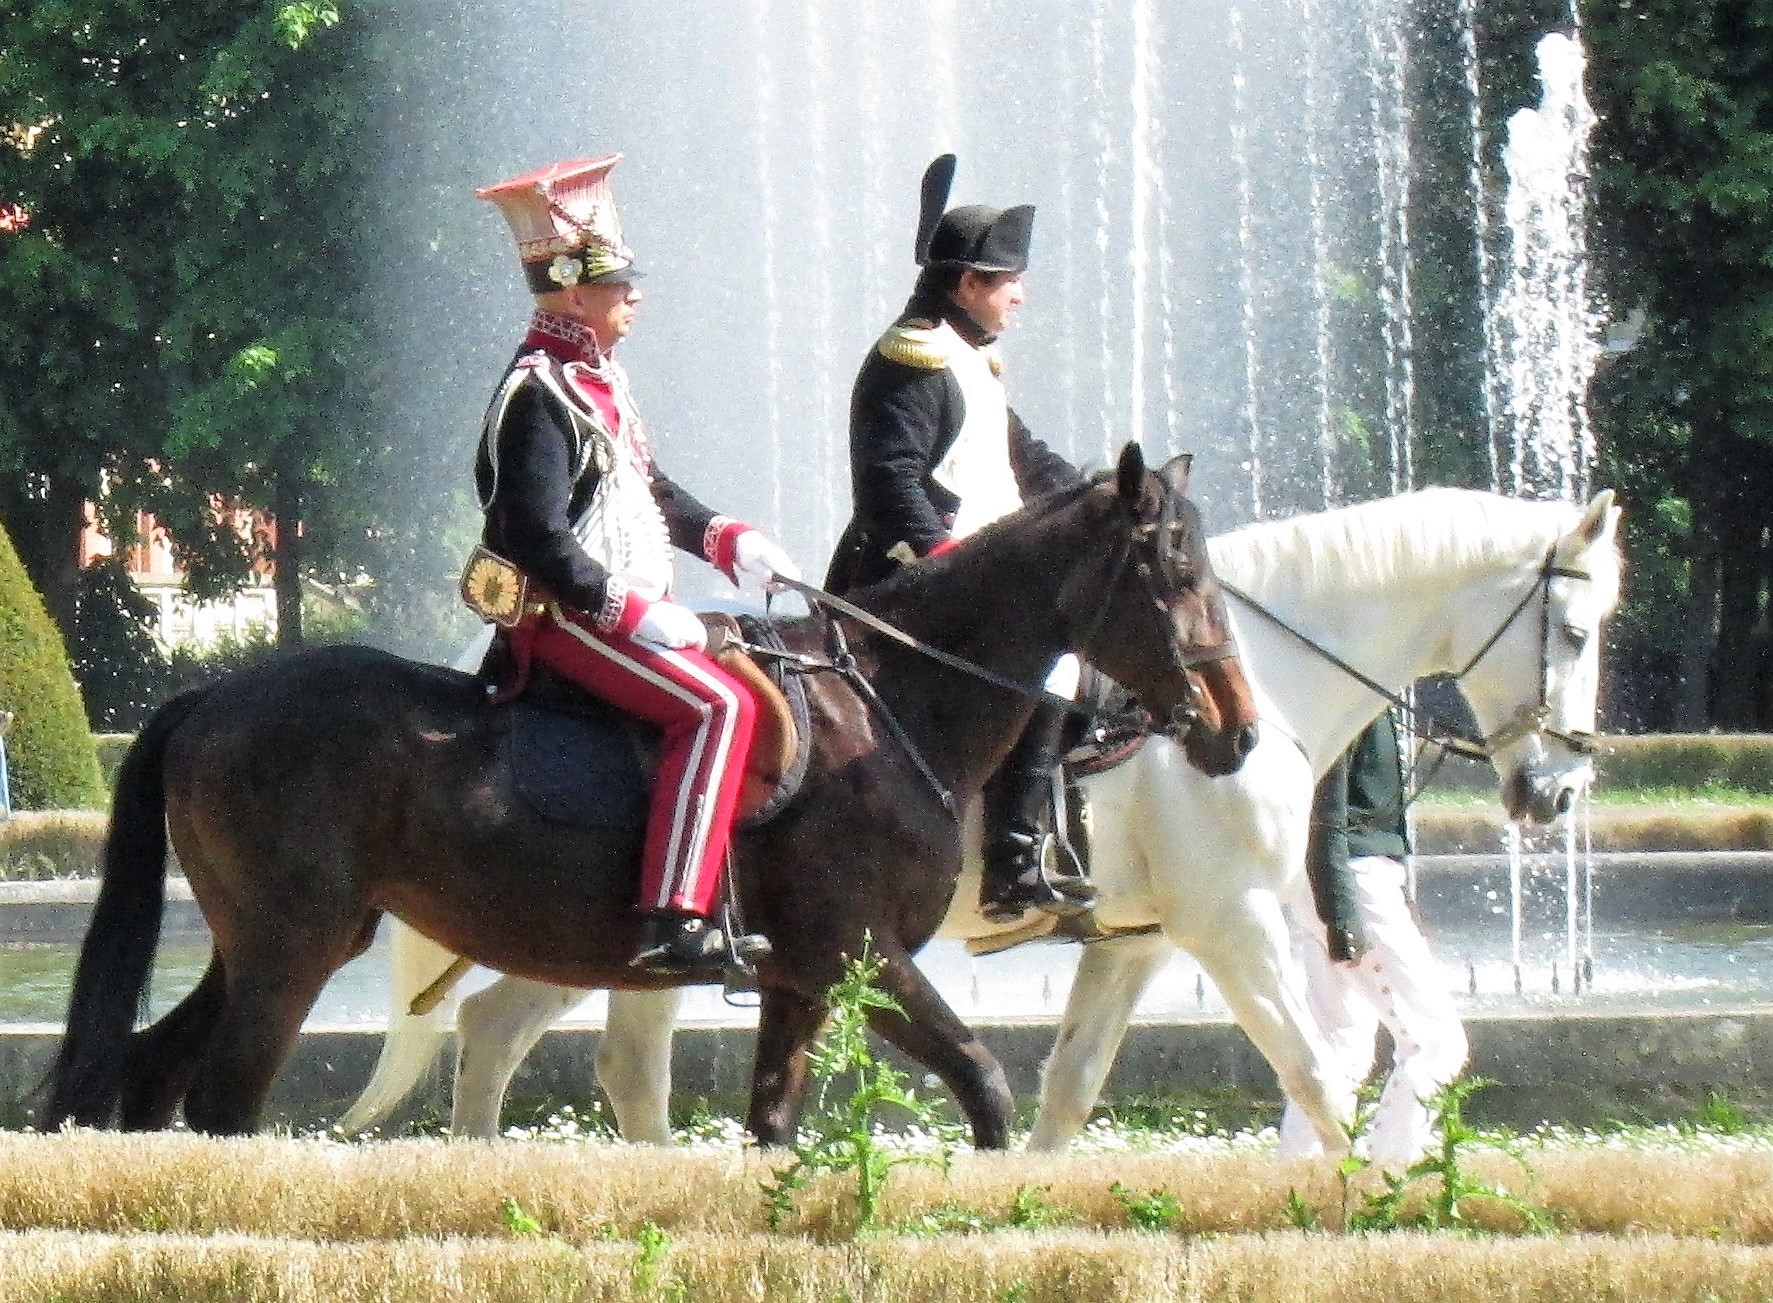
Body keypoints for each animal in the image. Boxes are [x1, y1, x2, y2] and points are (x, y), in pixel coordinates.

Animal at [44, 443, 1262, 1148]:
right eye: (1173, 567)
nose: (1236, 728)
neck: (895, 706)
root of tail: (213, 691)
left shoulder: (803, 979)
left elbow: (776, 1124)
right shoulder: (861, 956)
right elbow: (986, 1086)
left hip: (280, 941)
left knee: (153, 1075)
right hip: (290, 948)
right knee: (224, 1103)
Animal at [335, 489, 1624, 1148]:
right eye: (1576, 626)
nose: (1555, 790)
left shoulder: (1140, 944)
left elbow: (1069, 1090)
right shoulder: (1235, 924)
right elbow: (1312, 1073)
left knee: (521, 1036)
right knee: (565, 1050)